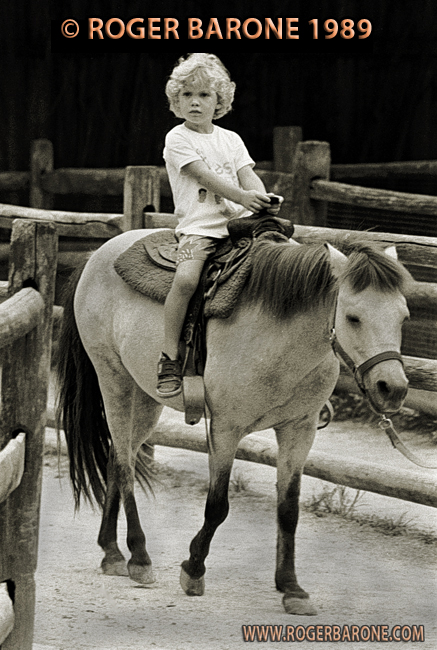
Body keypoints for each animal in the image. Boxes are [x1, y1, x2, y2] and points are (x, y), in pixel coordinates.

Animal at [56, 228, 411, 616]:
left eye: (403, 317)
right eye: (353, 317)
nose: (392, 388)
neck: (279, 337)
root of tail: (97, 254)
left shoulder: (299, 431)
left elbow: (288, 509)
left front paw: (292, 588)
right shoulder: (226, 428)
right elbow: (217, 506)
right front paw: (193, 569)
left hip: (145, 397)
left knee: (120, 457)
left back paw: (112, 552)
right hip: (113, 379)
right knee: (122, 464)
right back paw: (139, 558)